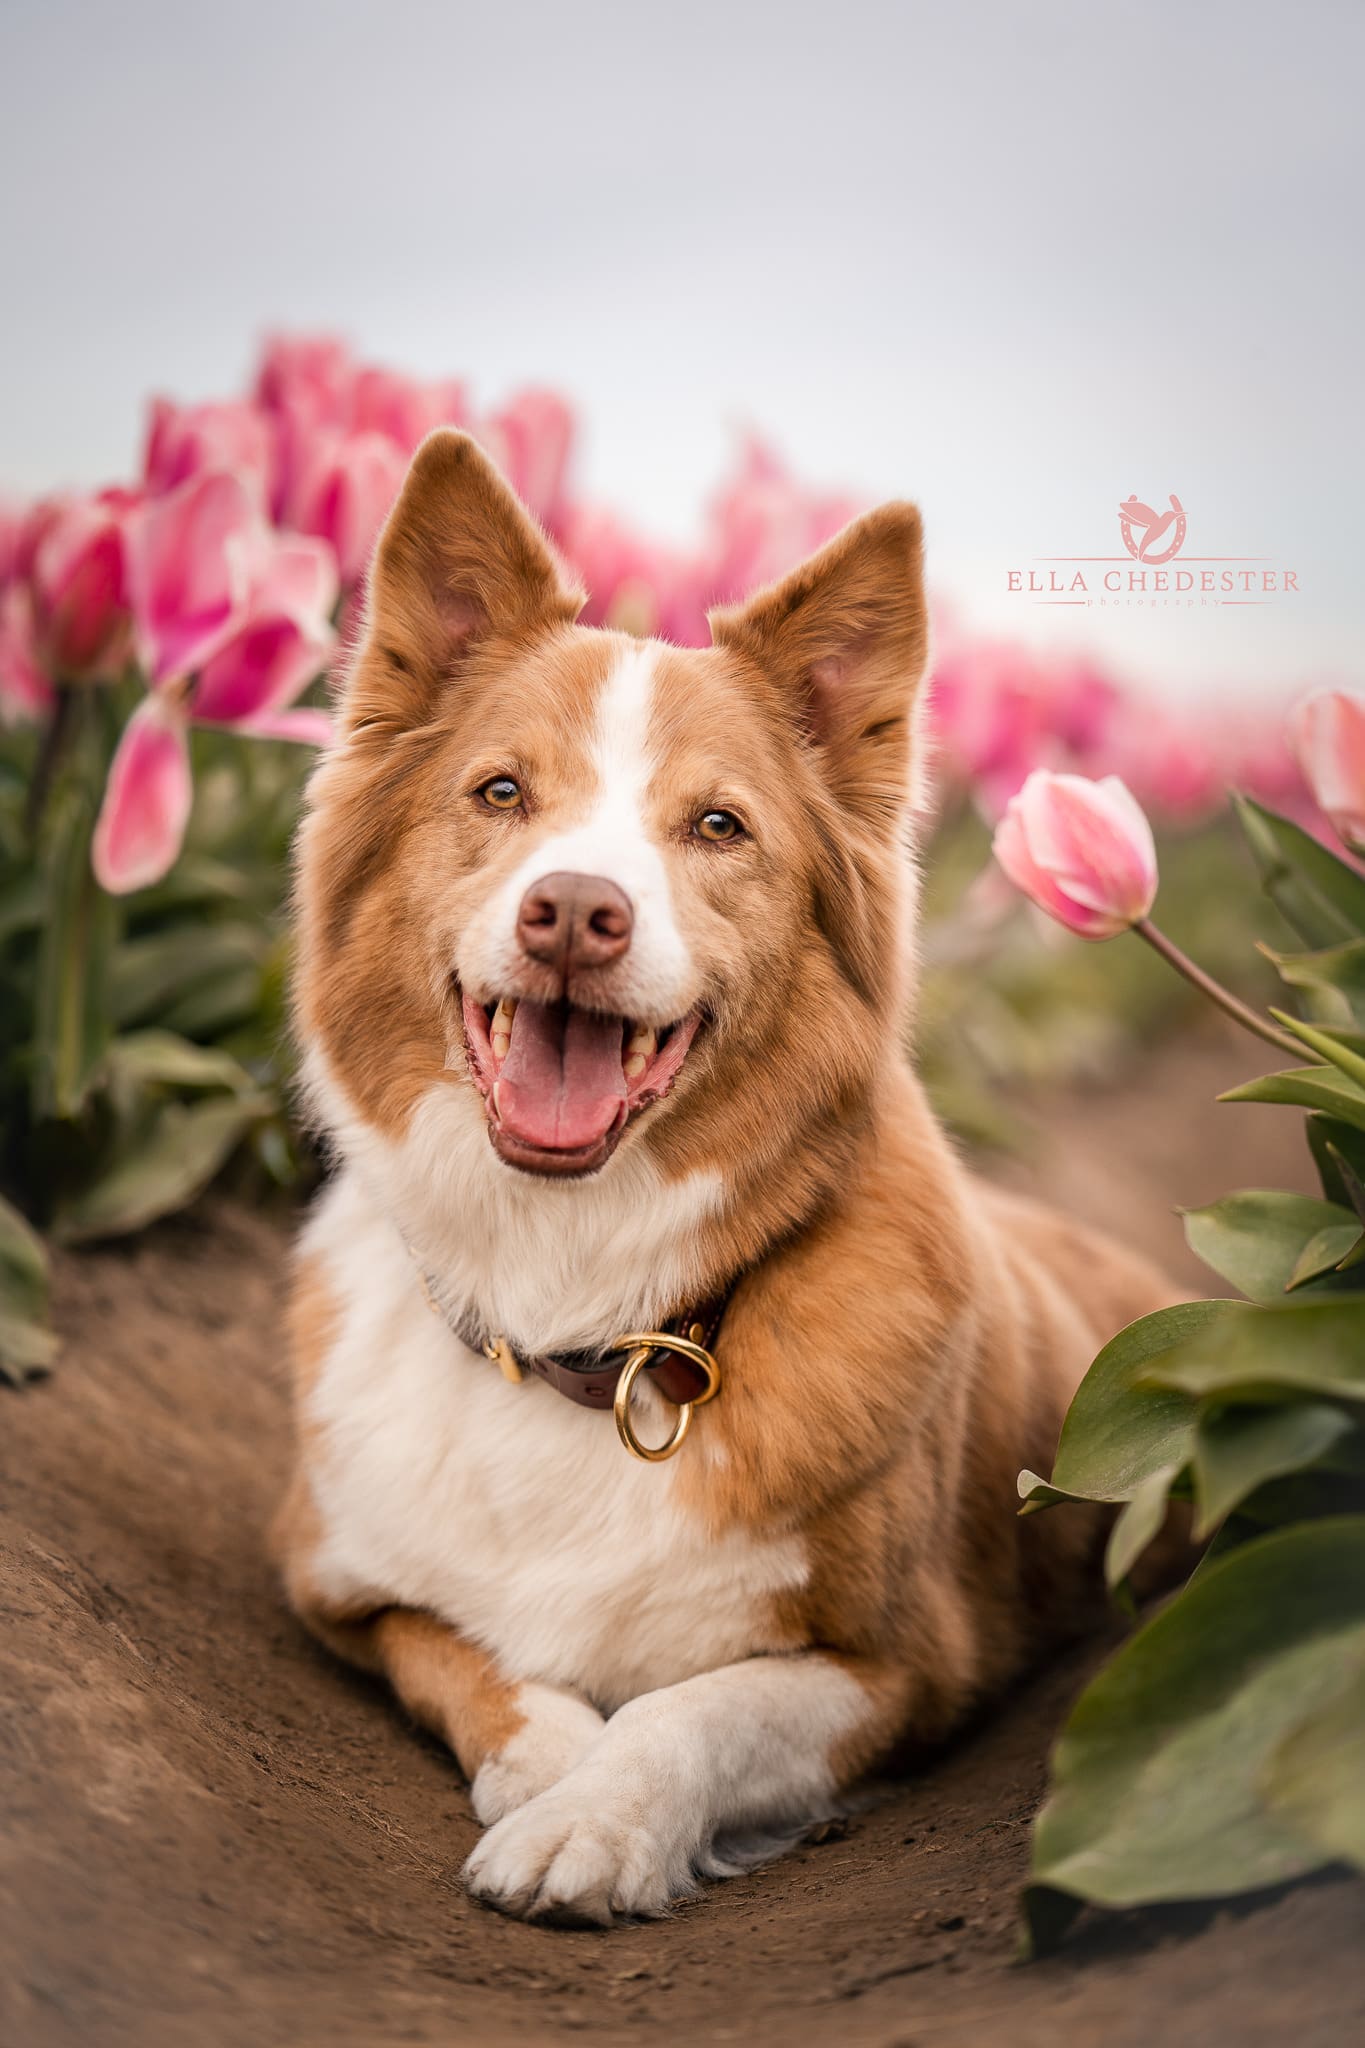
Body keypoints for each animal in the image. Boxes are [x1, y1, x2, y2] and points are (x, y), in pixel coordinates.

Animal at [274, 428, 1178, 1916]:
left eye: (715, 826)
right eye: (502, 793)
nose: (575, 911)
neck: (577, 1300)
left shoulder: (905, 1663)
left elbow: (694, 1707)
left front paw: (595, 1821)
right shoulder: (339, 1583)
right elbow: (477, 1660)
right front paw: (546, 1765)